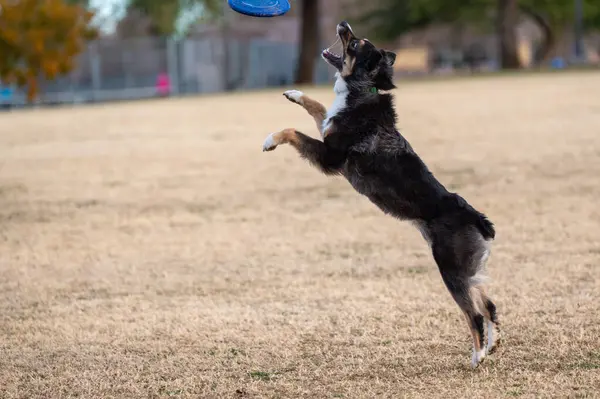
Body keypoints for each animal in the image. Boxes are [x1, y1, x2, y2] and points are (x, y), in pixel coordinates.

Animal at [262, 20, 502, 368]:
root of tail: (474, 215)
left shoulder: (330, 158)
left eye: (354, 43)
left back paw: (478, 355)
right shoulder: (327, 130)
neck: (363, 90)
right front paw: (294, 93)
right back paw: (492, 346)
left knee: (475, 314)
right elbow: (317, 107)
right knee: (489, 304)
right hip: (469, 268)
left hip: (451, 270)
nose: (344, 23)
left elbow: (293, 131)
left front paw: (270, 139)